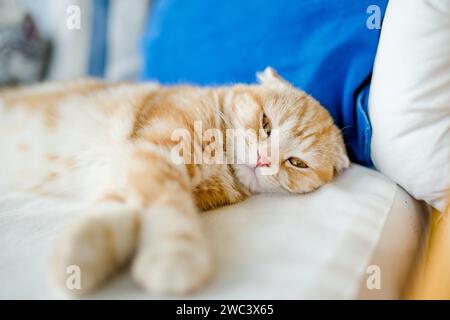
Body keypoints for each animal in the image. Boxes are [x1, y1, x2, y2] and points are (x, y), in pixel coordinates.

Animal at [0, 67, 350, 296]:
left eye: (297, 163)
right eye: (265, 123)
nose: (264, 160)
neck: (222, 161)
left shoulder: (132, 173)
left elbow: (116, 214)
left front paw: (79, 257)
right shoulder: (156, 154)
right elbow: (168, 203)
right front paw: (175, 255)